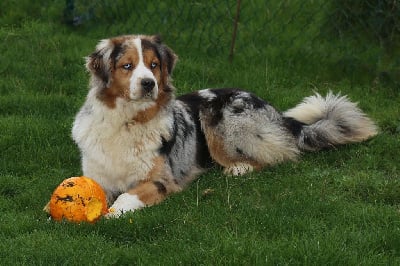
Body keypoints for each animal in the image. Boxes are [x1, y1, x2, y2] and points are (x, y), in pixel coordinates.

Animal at [72, 34, 378, 217]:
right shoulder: (97, 176)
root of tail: (277, 113)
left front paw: (112, 213)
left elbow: (127, 196)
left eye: (154, 64)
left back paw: (237, 169)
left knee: (278, 156)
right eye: (127, 66)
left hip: (221, 118)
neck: (128, 120)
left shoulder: (163, 179)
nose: (149, 84)